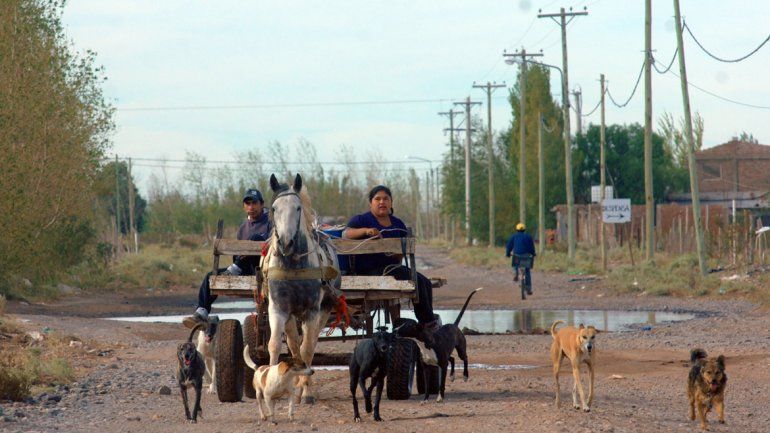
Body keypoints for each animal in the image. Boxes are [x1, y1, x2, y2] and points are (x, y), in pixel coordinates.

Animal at [265, 173, 341, 403]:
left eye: (297, 208)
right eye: (274, 208)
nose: (286, 243)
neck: (294, 267)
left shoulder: (312, 311)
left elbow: (307, 349)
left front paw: (305, 391)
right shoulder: (278, 309)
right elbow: (276, 345)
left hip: (324, 310)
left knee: (310, 343)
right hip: (291, 316)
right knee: (293, 344)